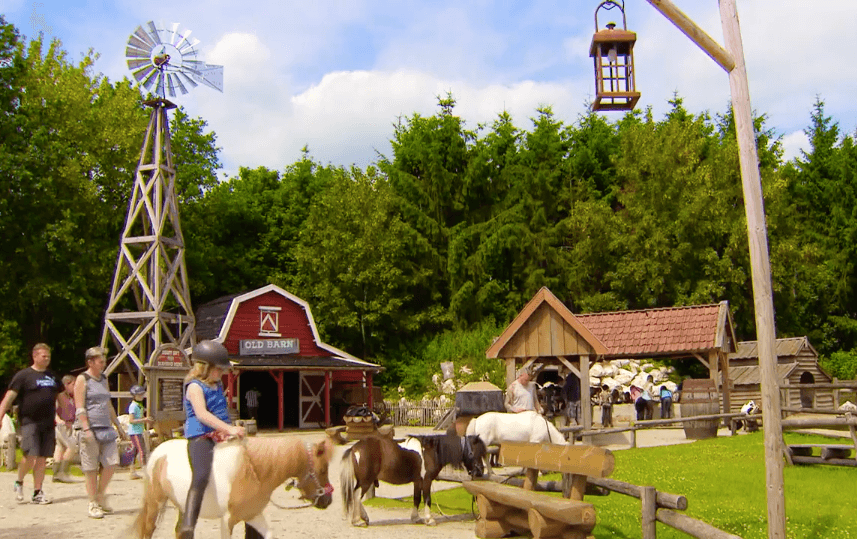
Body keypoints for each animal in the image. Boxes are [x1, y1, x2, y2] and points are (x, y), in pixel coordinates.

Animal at [133, 436, 334, 539]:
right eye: (323, 469)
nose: (328, 500)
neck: (253, 471)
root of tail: (158, 451)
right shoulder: (227, 520)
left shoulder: (252, 515)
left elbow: (269, 535)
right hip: (155, 502)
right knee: (148, 530)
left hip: (183, 507)